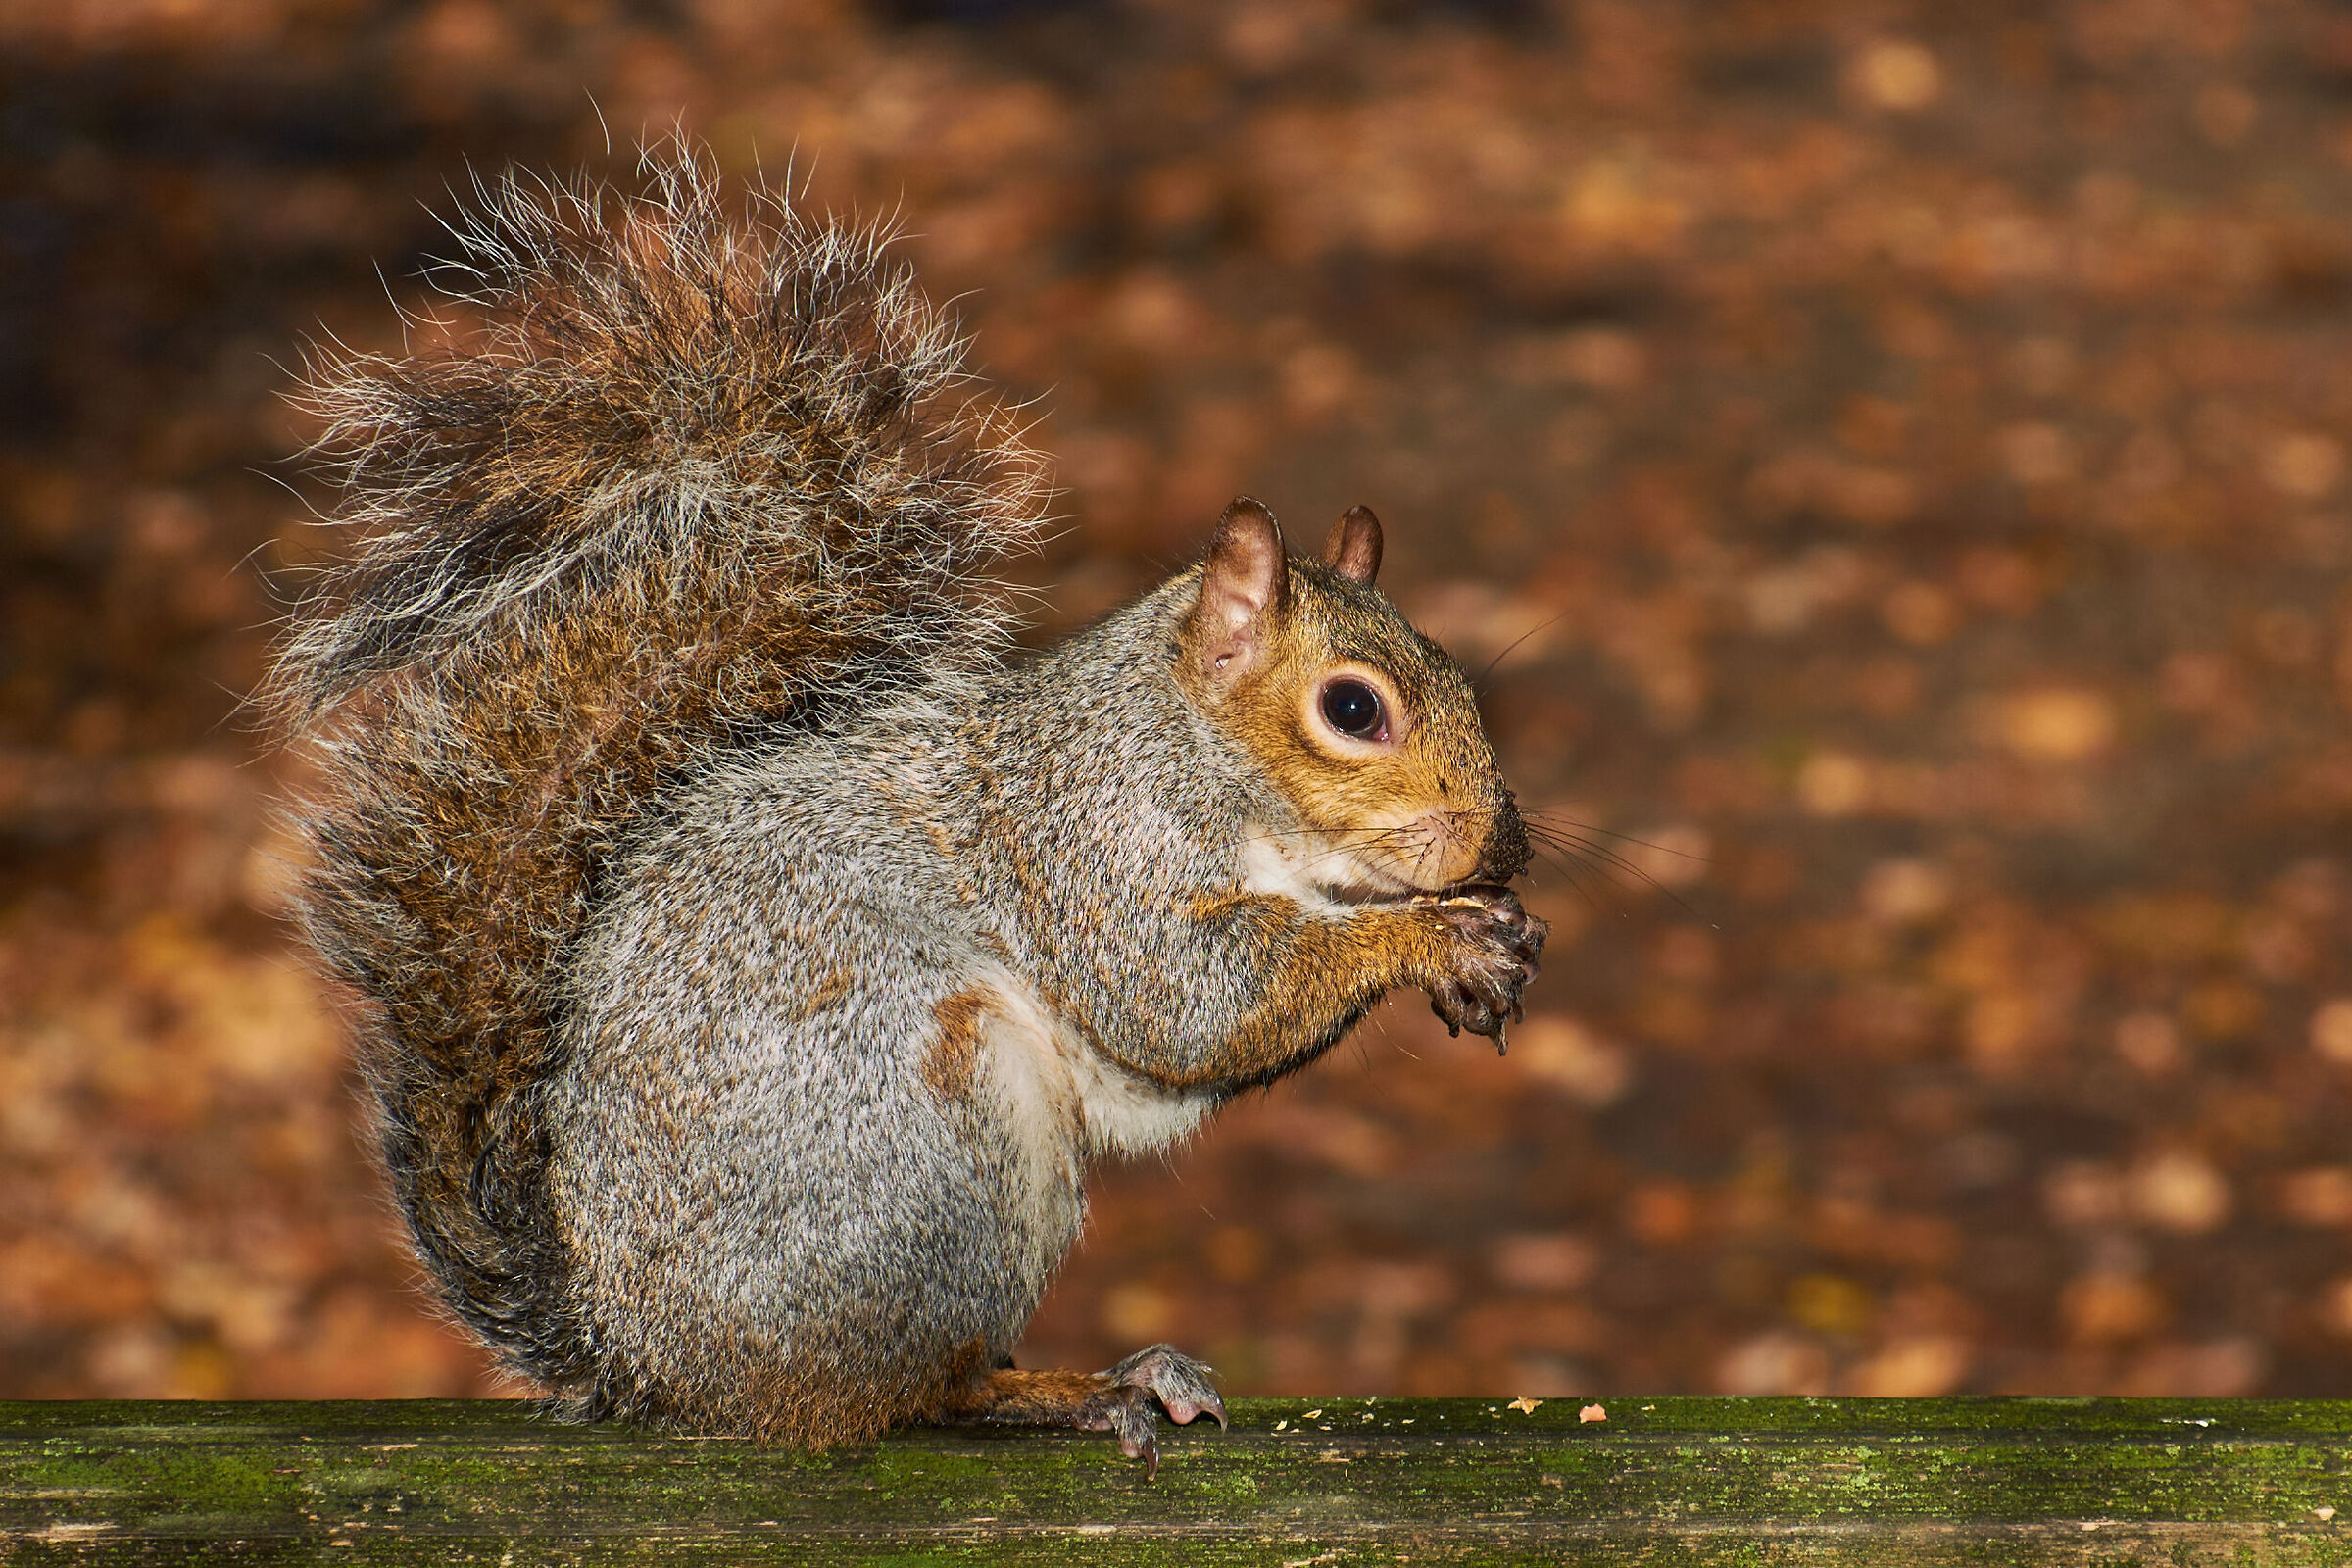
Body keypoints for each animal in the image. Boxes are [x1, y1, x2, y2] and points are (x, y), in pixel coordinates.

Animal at [269, 147, 1546, 1475]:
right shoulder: (1097, 842)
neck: (1192, 748)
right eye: (1353, 708)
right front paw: (1431, 939)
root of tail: (653, 1365)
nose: (1502, 839)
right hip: (928, 1143)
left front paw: (1491, 933)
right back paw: (1072, 1388)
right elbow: (1188, 998)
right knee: (912, 1388)